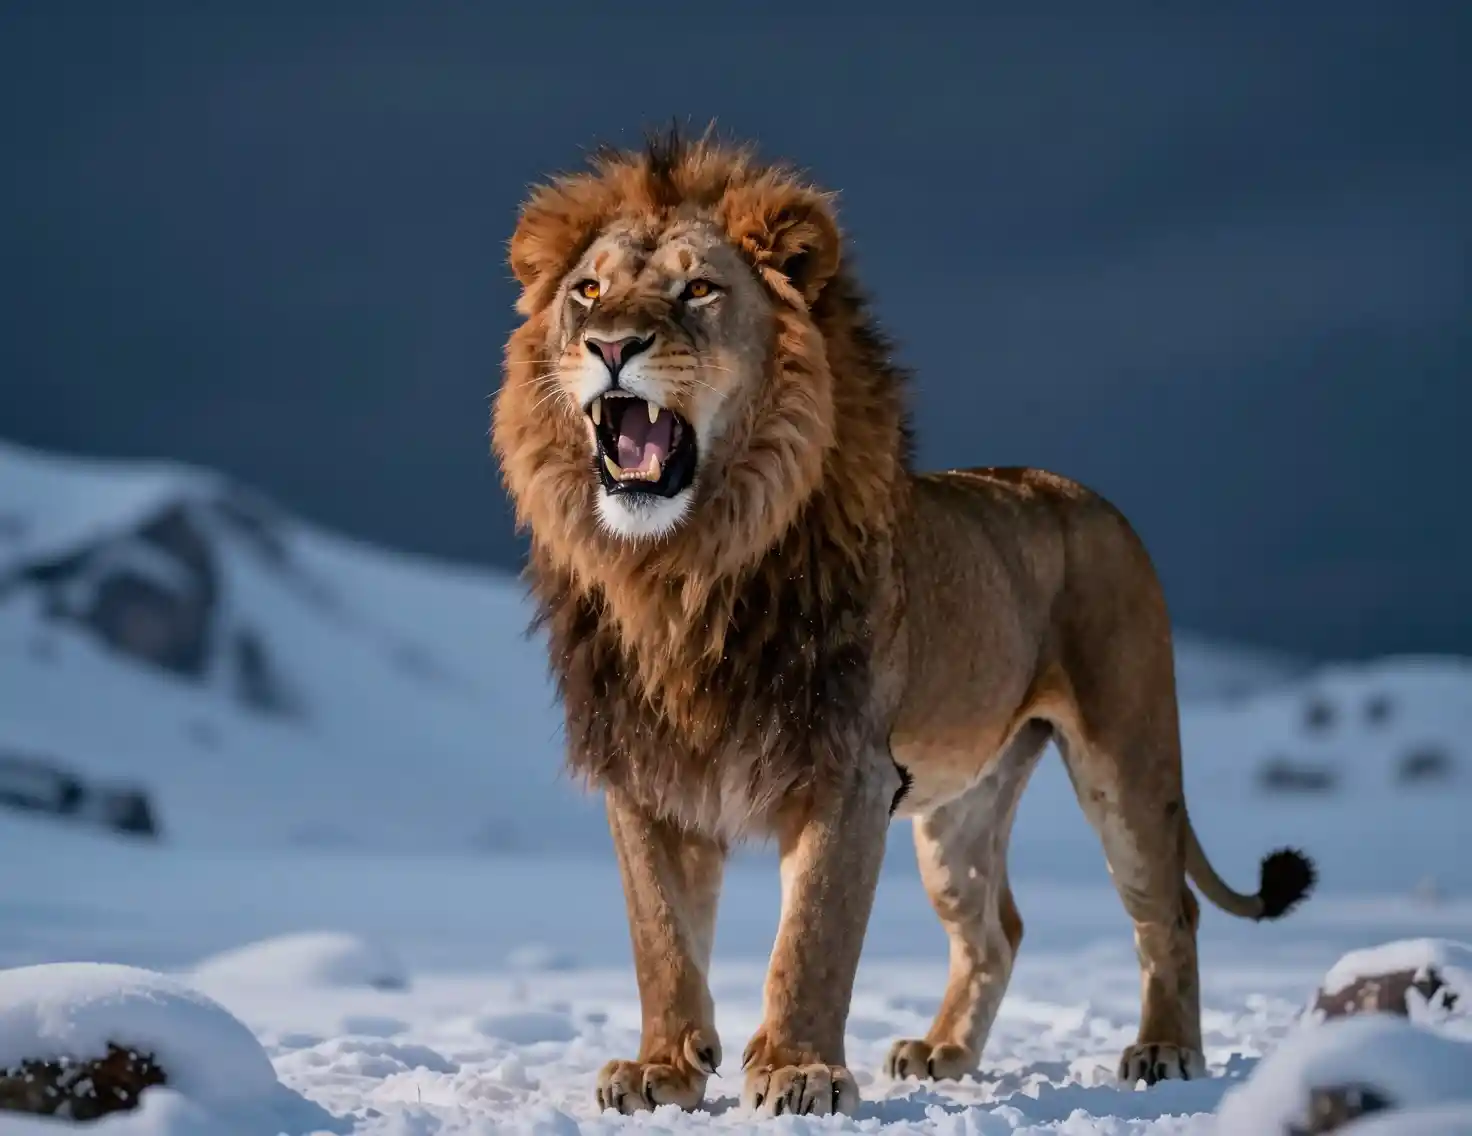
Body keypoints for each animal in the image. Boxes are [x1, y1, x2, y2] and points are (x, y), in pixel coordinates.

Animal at [490, 128, 1316, 1118]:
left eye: (699, 291)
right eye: (587, 291)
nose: (611, 344)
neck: (684, 570)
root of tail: (1084, 494)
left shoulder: (847, 770)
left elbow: (811, 939)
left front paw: (797, 1071)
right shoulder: (646, 772)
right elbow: (659, 937)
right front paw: (660, 1069)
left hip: (1127, 757)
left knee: (1168, 911)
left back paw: (1164, 1051)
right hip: (959, 809)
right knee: (998, 927)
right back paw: (943, 1052)